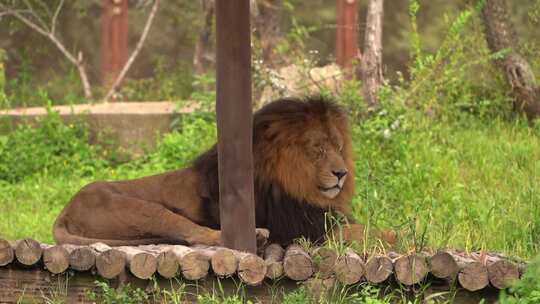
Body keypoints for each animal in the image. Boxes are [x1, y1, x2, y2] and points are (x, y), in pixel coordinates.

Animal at [52, 97, 394, 247]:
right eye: (318, 148)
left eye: (338, 145)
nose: (342, 173)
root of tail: (64, 212)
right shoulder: (304, 229)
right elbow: (371, 232)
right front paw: (398, 236)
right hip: (144, 210)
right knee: (197, 235)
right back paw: (254, 236)